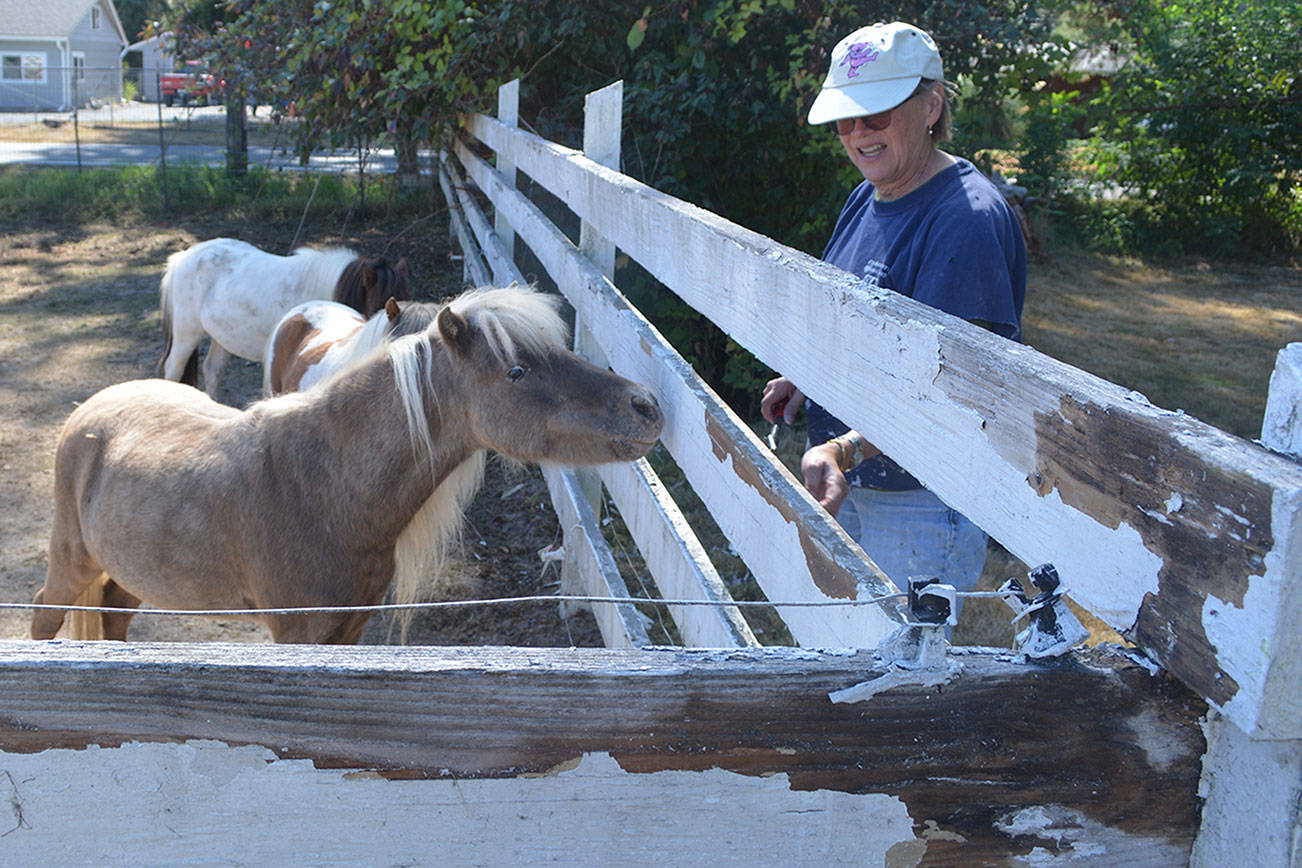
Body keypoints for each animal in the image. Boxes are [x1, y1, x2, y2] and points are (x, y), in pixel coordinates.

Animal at [154, 238, 406, 400]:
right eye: (380, 305)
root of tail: (180, 258)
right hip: (187, 333)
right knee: (173, 368)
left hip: (221, 338)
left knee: (212, 370)